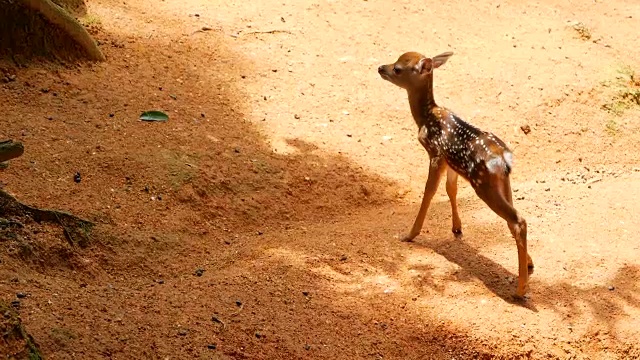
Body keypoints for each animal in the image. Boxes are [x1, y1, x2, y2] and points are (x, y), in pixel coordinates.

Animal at [378, 50, 532, 298]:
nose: (381, 68)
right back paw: (528, 264)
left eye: (398, 68)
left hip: (483, 185)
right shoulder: (450, 164)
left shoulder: (435, 154)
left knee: (518, 220)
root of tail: (504, 158)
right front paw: (457, 228)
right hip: (502, 182)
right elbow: (451, 189)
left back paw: (520, 290)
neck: (426, 117)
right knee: (514, 218)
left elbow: (429, 191)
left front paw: (410, 234)